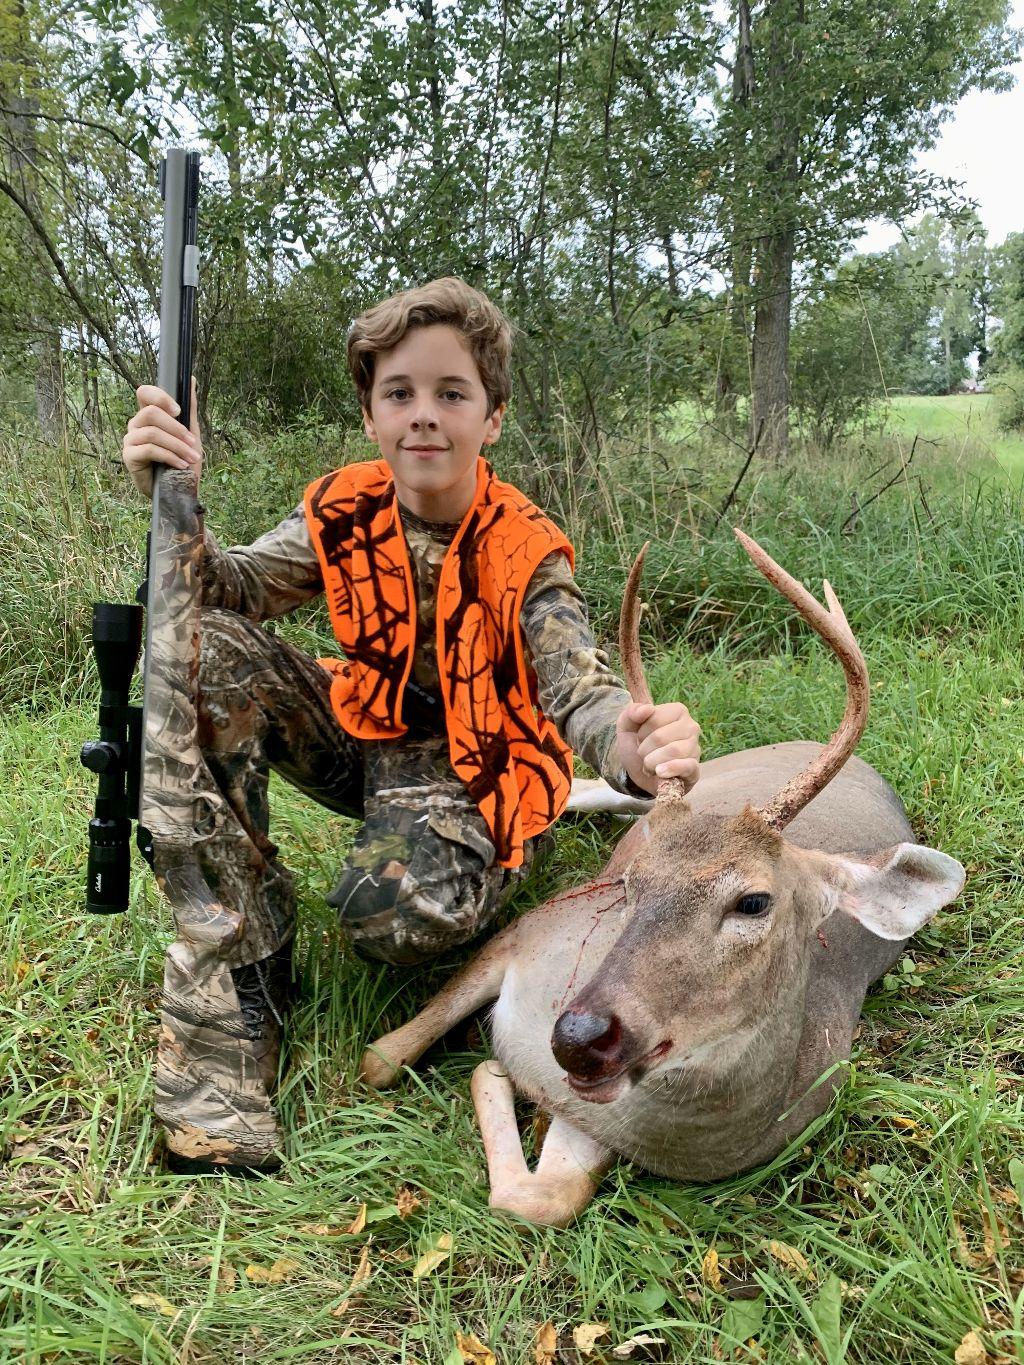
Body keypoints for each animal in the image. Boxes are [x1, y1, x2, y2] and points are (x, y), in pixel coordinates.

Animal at [359, 531, 966, 1228]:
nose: (577, 1039)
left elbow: (546, 1198)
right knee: (616, 789)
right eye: (630, 886)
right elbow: (380, 1060)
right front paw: (488, 1068)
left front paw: (494, 1074)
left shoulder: (598, 1116)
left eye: (753, 902)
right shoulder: (533, 927)